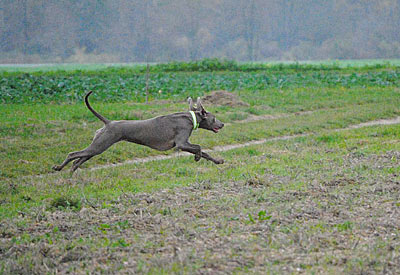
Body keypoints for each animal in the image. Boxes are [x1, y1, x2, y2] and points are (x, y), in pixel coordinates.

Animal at [52, 91, 225, 174]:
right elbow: (199, 148)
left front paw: (218, 161)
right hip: (101, 144)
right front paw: (197, 157)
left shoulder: (184, 144)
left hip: (98, 146)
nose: (222, 124)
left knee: (78, 160)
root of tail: (108, 123)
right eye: (214, 118)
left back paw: (71, 174)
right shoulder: (182, 143)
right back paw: (59, 168)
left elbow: (206, 153)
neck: (191, 118)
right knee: (73, 154)